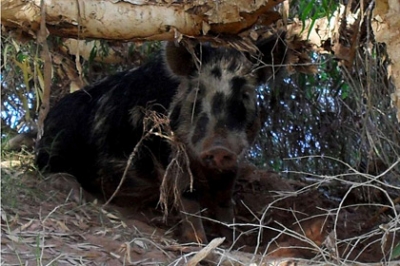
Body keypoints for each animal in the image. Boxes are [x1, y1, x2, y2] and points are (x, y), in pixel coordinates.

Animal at [36, 34, 286, 244]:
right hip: (55, 148)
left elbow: (225, 202)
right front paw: (198, 242)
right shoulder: (167, 152)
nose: (219, 147)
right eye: (198, 91)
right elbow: (187, 197)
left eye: (246, 94)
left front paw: (232, 241)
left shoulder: (233, 163)